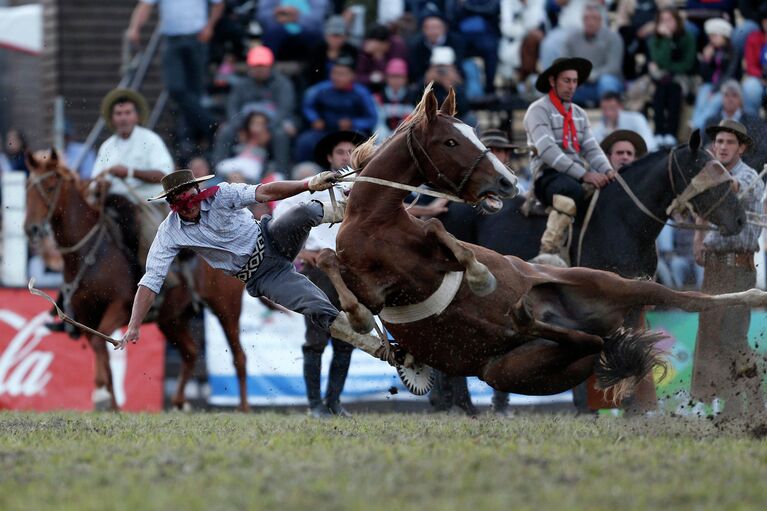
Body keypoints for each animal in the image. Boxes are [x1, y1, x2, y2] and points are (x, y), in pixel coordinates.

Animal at [24, 151, 249, 412]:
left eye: (51, 186)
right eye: (27, 187)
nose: (32, 229)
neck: (91, 252)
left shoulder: (120, 307)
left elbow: (101, 342)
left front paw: (102, 398)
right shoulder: (85, 313)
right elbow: (99, 346)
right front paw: (110, 402)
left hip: (226, 308)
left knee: (239, 357)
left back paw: (243, 409)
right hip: (172, 319)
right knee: (191, 352)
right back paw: (179, 402)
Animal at [316, 86, 760, 402]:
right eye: (450, 141)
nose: (507, 181)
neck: (374, 220)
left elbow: (442, 235)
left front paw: (479, 275)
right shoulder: (375, 288)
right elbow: (329, 262)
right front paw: (356, 317)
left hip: (612, 283)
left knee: (686, 301)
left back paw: (756, 297)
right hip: (512, 369)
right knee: (590, 340)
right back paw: (528, 317)